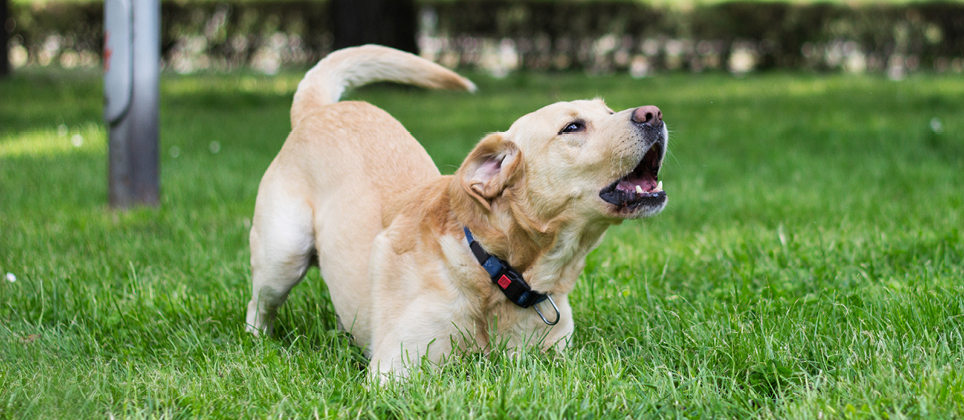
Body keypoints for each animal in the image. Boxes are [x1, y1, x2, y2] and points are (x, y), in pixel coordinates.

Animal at [247, 44, 672, 378]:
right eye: (572, 127)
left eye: (609, 111)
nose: (653, 113)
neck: (496, 266)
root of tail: (317, 112)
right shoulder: (396, 370)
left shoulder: (558, 360)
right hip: (284, 254)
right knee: (258, 307)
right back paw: (258, 346)